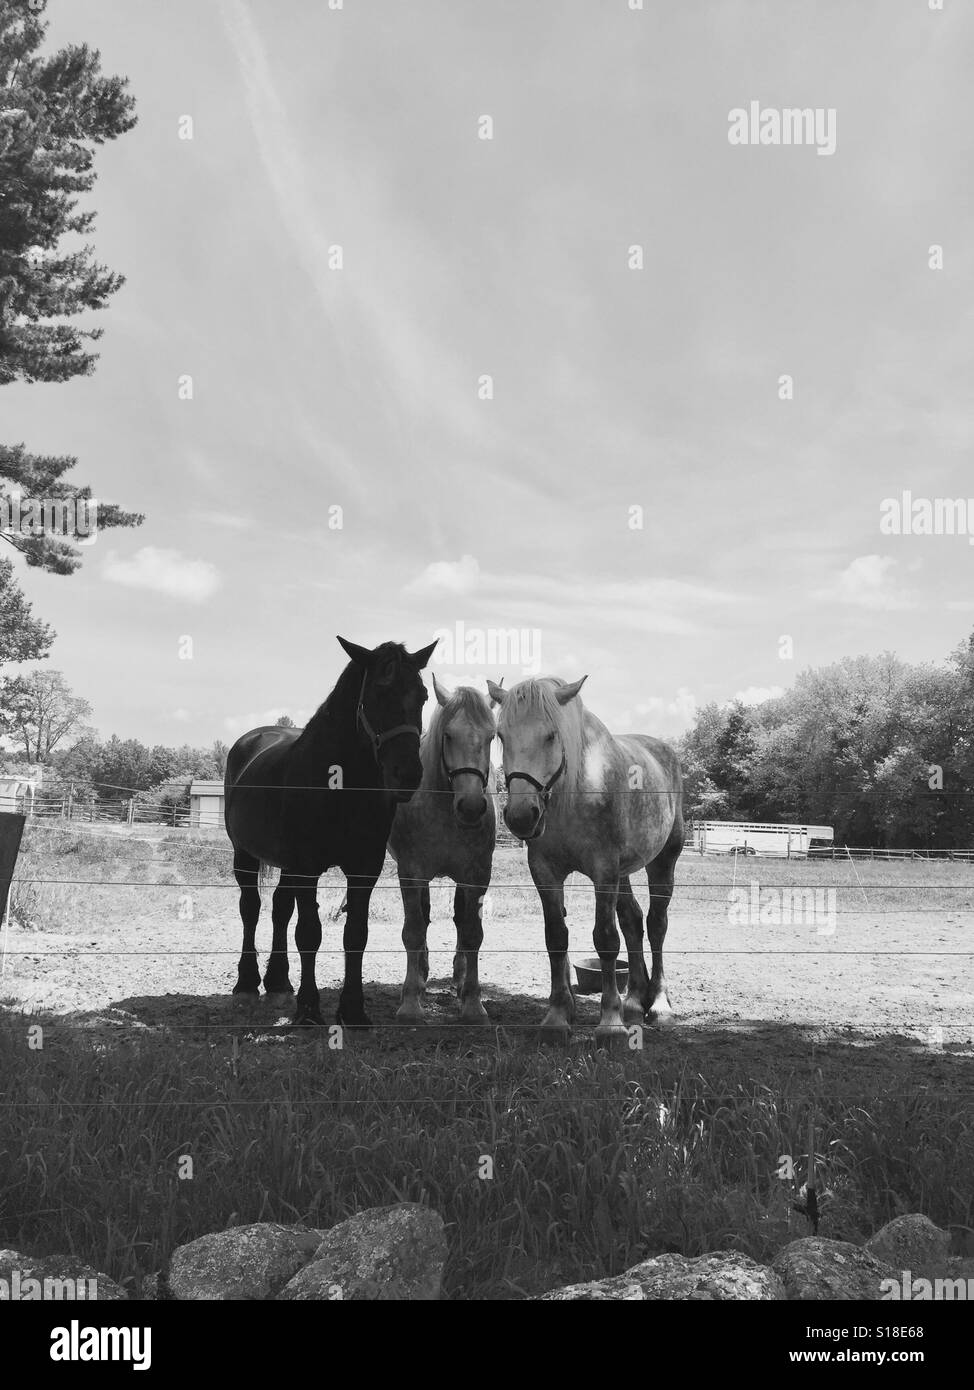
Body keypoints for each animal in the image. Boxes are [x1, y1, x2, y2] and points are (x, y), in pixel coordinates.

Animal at [222, 636, 436, 1023]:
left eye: (422, 695)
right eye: (379, 691)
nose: (408, 775)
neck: (341, 786)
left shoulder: (363, 870)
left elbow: (356, 935)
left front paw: (353, 1010)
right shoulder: (307, 868)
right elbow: (309, 933)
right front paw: (309, 1009)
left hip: (286, 865)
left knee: (279, 908)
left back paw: (278, 984)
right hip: (244, 855)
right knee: (251, 907)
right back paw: (246, 984)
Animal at [386, 678, 497, 1028]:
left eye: (492, 736)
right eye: (448, 735)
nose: (472, 806)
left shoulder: (477, 875)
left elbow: (472, 933)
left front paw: (473, 1004)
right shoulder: (411, 872)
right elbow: (413, 930)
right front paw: (410, 1003)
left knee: (461, 921)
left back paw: (459, 980)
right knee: (422, 917)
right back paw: (421, 977)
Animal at [486, 672, 683, 1045]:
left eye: (551, 735)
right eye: (501, 736)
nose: (521, 816)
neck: (572, 791)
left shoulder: (603, 870)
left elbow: (605, 939)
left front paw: (609, 1022)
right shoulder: (546, 872)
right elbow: (556, 938)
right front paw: (557, 1016)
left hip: (662, 862)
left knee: (657, 925)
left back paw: (659, 1004)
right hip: (624, 872)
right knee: (634, 921)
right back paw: (634, 1001)